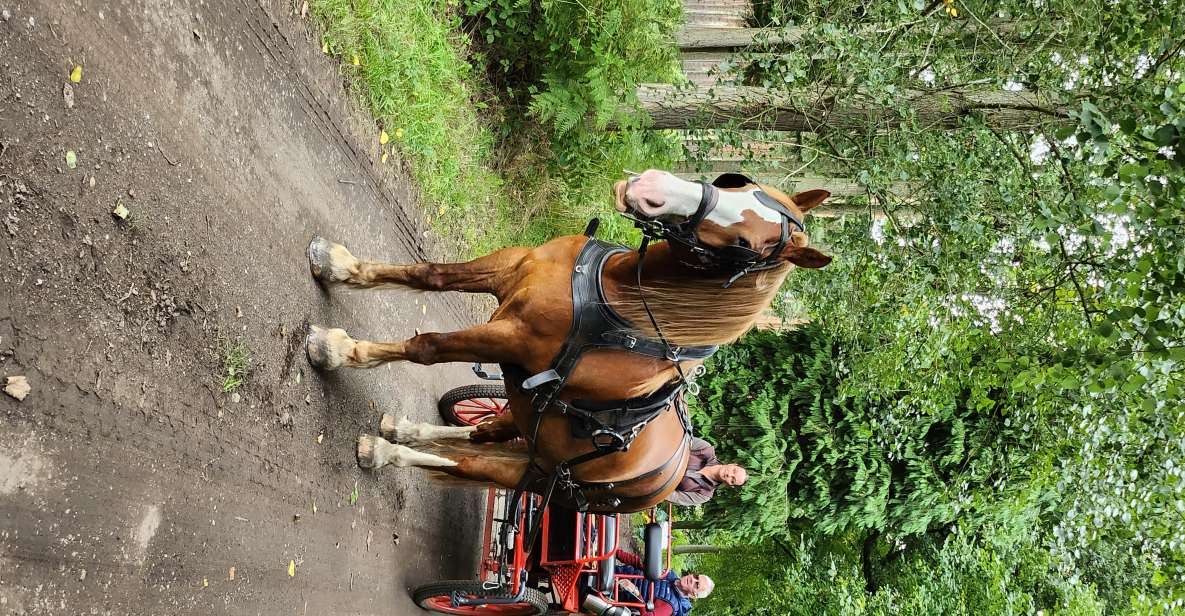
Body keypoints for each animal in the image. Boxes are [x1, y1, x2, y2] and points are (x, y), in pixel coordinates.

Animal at [300, 168, 829, 509]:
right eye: (736, 184)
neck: (613, 294)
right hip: (530, 425)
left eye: (747, 246)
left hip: (539, 472)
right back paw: (406, 431)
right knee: (480, 432)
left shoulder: (512, 339)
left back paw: (386, 451)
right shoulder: (510, 269)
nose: (649, 188)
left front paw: (337, 350)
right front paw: (337, 266)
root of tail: (672, 473)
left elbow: (426, 346)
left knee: (466, 463)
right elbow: (429, 274)